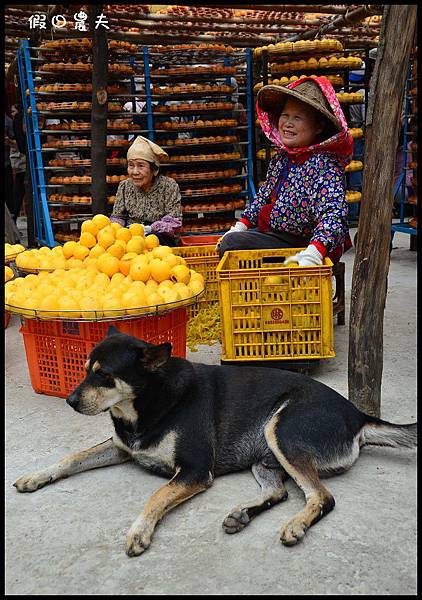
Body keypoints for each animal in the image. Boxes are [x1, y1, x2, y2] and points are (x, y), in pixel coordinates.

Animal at [12, 328, 416, 556]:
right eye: (84, 371)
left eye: (105, 376)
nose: (69, 401)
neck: (148, 403)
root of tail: (358, 415)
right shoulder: (121, 448)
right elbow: (72, 457)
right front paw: (36, 476)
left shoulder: (193, 471)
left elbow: (155, 496)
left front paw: (139, 531)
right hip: (264, 456)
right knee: (280, 492)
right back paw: (243, 515)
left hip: (282, 431)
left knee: (322, 497)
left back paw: (296, 526)